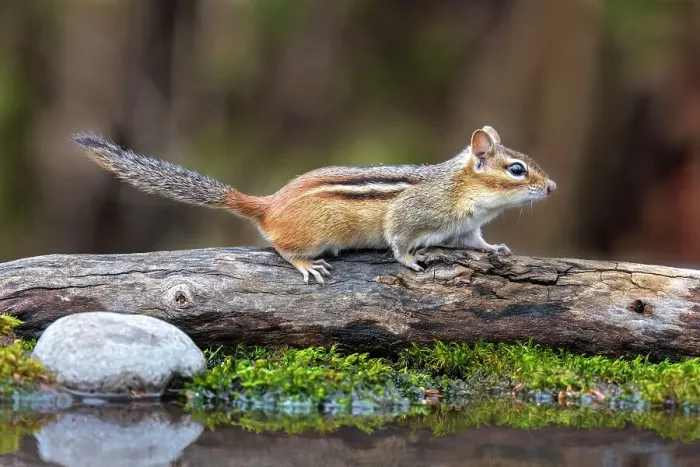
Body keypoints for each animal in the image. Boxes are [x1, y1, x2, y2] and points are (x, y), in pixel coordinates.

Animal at [71, 126, 556, 284]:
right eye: (517, 170)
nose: (551, 187)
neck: (459, 189)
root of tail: (269, 205)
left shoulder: (466, 228)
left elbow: (477, 243)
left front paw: (495, 249)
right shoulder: (414, 212)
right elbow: (398, 237)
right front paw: (409, 261)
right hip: (313, 235)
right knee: (282, 248)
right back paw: (305, 263)